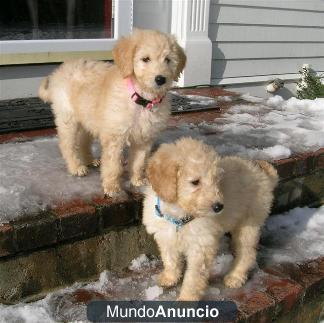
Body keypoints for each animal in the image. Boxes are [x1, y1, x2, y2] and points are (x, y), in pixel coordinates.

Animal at [38, 29, 185, 197]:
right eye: (145, 59)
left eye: (168, 60)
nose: (161, 79)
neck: (141, 98)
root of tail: (58, 72)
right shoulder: (115, 136)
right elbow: (113, 165)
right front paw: (112, 187)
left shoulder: (144, 138)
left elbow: (139, 162)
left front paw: (137, 180)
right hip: (68, 119)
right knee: (67, 144)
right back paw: (76, 167)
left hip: (88, 118)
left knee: (83, 140)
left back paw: (89, 160)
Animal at [142, 138, 278, 302]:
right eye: (195, 182)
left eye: (216, 181)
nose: (219, 207)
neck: (180, 213)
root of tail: (264, 176)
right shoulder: (166, 236)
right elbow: (170, 259)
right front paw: (170, 277)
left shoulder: (200, 246)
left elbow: (193, 277)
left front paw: (187, 299)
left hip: (249, 223)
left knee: (247, 253)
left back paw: (235, 276)